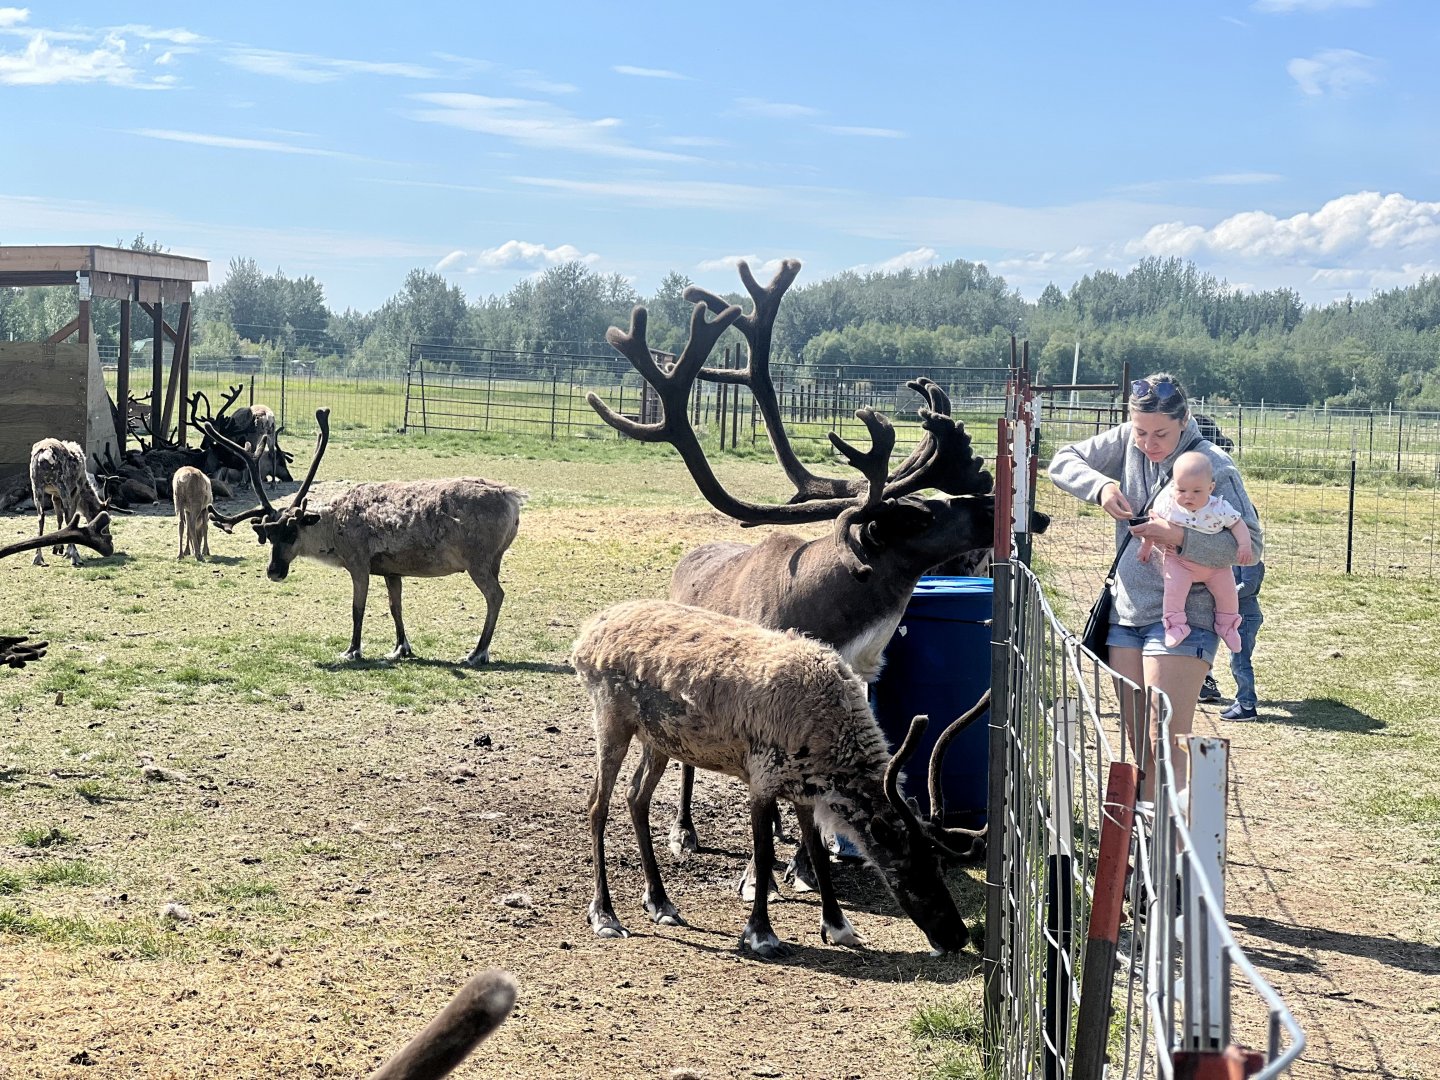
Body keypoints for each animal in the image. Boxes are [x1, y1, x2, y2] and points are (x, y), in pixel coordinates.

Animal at [207, 409, 524, 666]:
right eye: (269, 535)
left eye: (292, 531)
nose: (274, 571)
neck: (333, 528)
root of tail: (513, 497)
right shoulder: (392, 570)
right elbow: (395, 607)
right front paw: (401, 648)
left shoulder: (359, 563)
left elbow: (357, 609)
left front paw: (352, 650)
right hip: (494, 560)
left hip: (478, 560)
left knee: (496, 595)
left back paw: (477, 653)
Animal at [573, 598, 981, 959]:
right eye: (907, 868)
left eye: (940, 864)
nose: (958, 936)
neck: (832, 734)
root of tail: (585, 638)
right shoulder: (763, 778)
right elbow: (765, 851)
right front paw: (761, 935)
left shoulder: (803, 791)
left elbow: (817, 852)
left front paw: (839, 927)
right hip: (611, 720)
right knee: (597, 804)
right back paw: (605, 915)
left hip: (658, 739)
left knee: (635, 796)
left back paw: (660, 903)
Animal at [587, 258, 1047, 898]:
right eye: (919, 514)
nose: (1025, 513)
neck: (836, 621)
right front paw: (762, 874)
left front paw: (808, 857)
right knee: (680, 763)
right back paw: (685, 830)